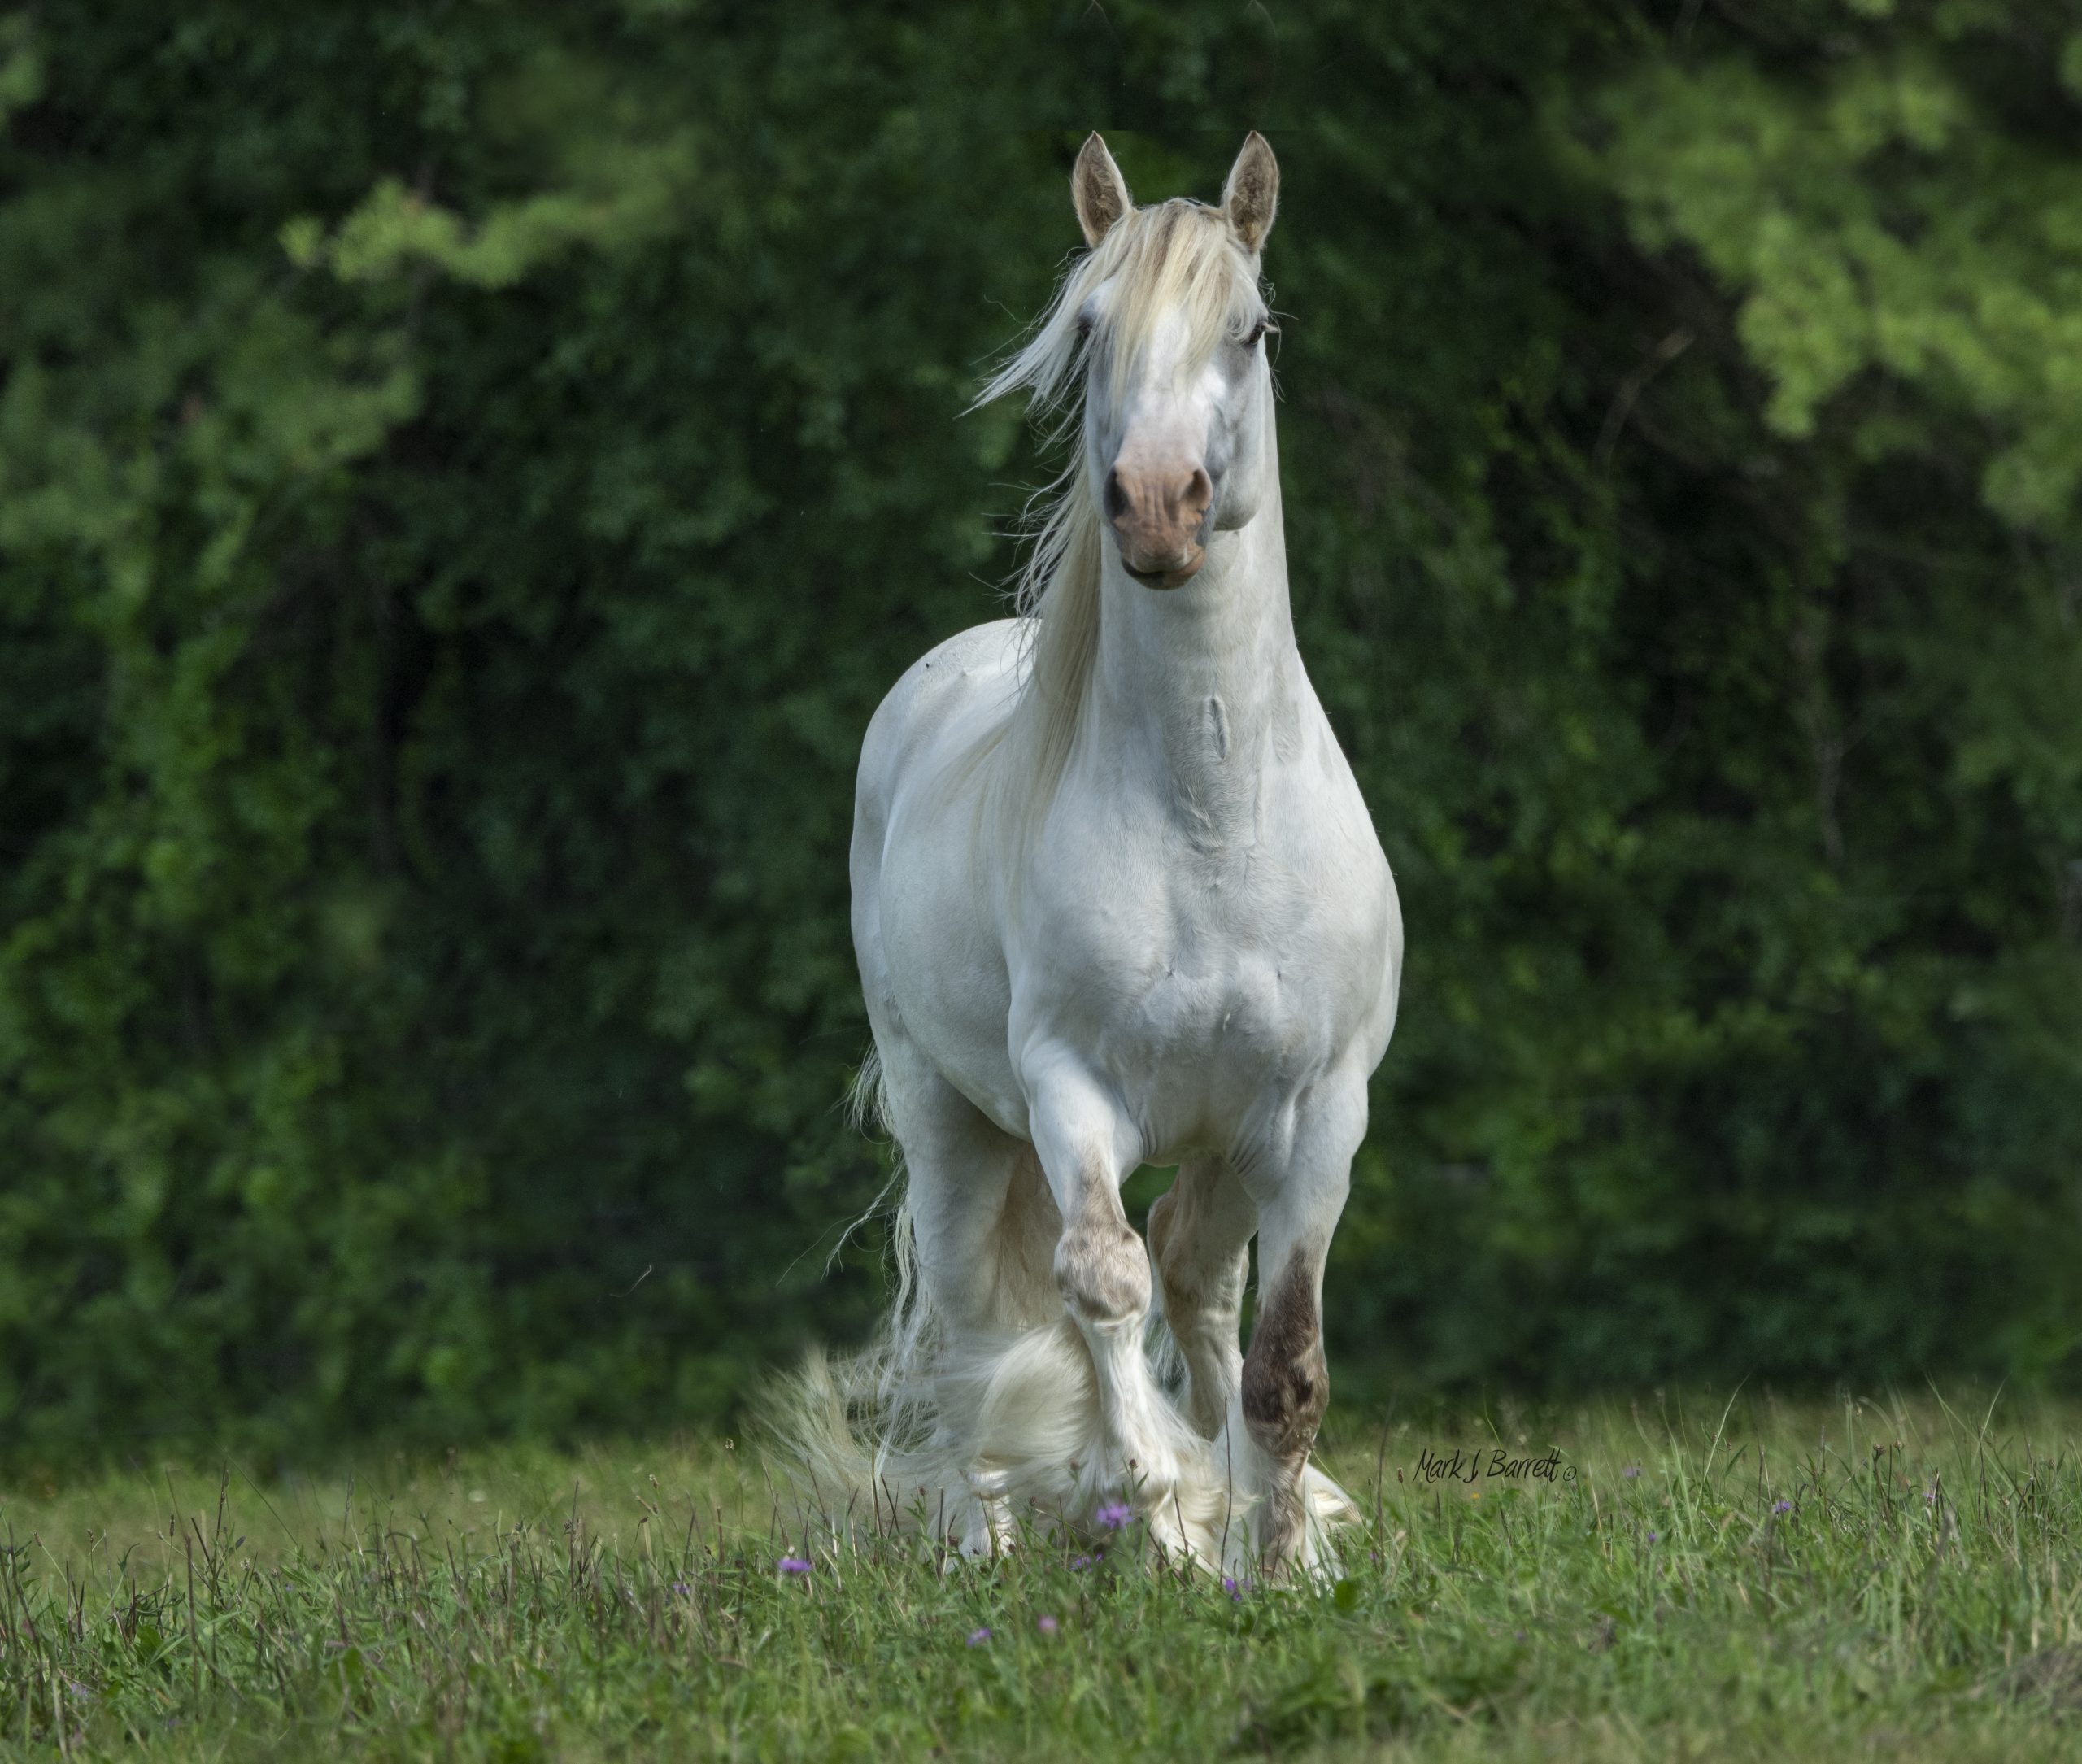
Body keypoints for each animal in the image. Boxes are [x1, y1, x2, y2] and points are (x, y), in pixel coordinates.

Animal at [790, 132, 1402, 1575]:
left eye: (1254, 327)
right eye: (1088, 329)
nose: (1158, 509)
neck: (1212, 821)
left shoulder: (1319, 1116)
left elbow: (1284, 1358)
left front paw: (1278, 1561)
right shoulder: (1069, 1088)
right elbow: (1098, 1283)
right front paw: (1161, 1509)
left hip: (1228, 1144)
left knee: (1197, 1277)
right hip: (949, 1117)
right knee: (977, 1319)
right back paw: (986, 1544)